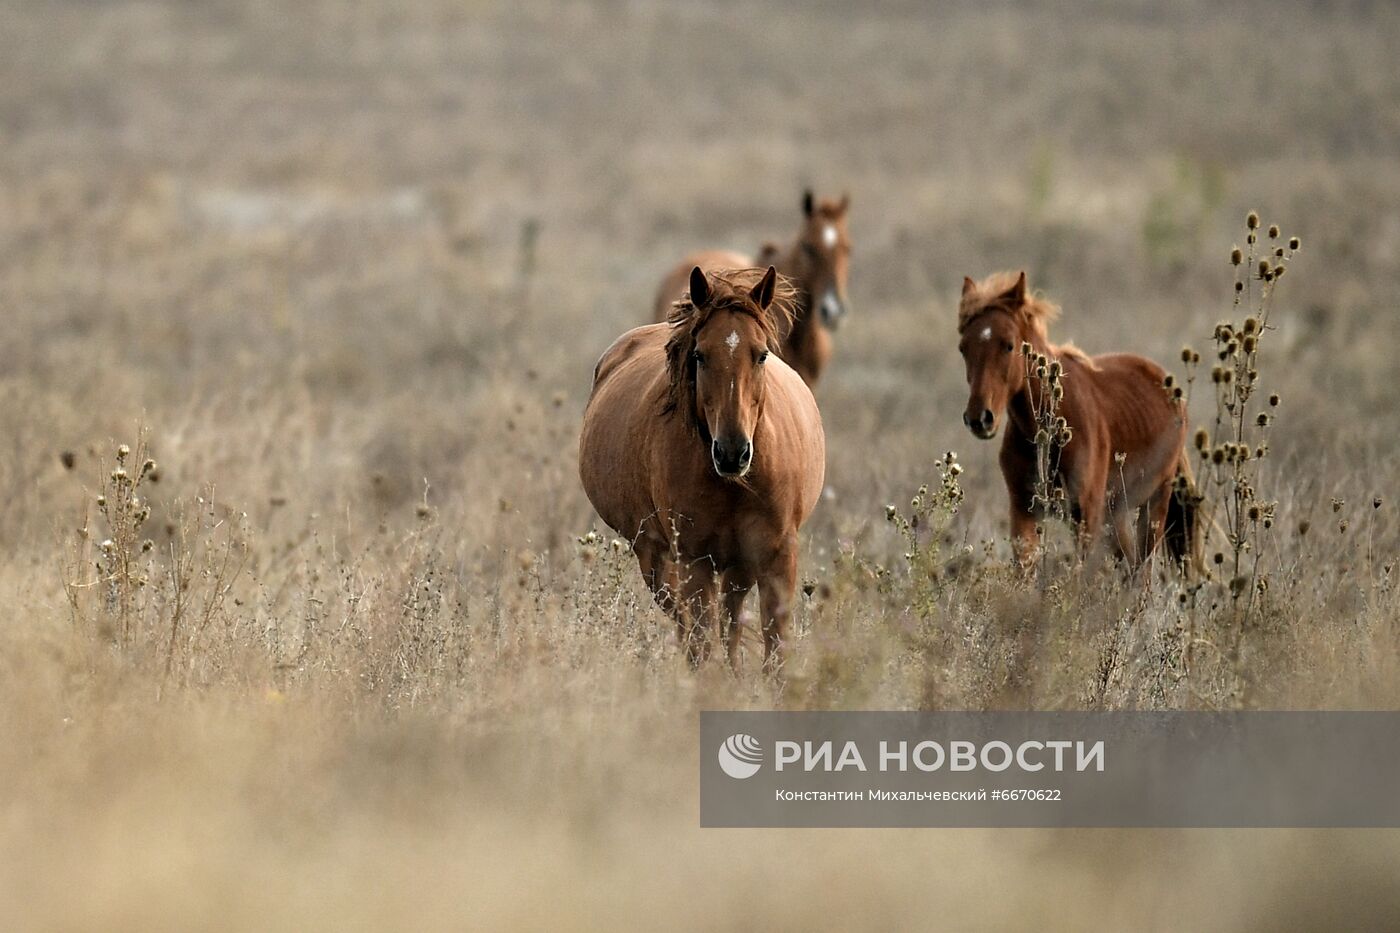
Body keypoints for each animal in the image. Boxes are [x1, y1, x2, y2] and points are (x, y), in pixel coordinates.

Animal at [576, 264, 823, 664]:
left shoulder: (776, 556)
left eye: (762, 355)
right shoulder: (695, 561)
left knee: (729, 622)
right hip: (656, 558)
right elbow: (703, 645)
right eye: (700, 356)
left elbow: (773, 647)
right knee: (688, 624)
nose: (732, 452)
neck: (734, 484)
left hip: (736, 566)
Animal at [957, 264, 1198, 563]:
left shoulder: (1086, 514)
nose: (979, 418)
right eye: (963, 348)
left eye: (1009, 345)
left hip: (1154, 503)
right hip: (1116, 512)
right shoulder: (1023, 511)